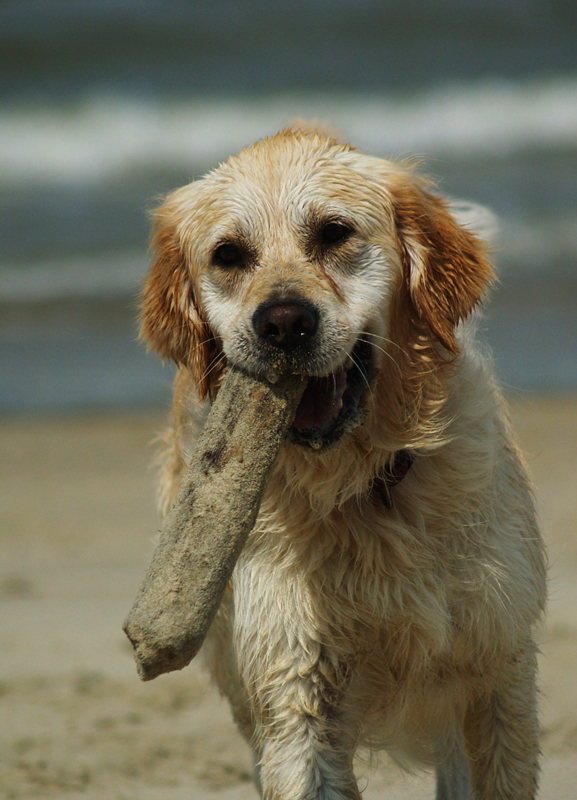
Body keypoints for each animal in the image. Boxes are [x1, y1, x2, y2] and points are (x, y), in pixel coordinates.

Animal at [138, 128, 544, 796]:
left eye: (333, 233)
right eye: (228, 255)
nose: (283, 323)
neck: (364, 488)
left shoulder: (497, 666)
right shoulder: (296, 687)